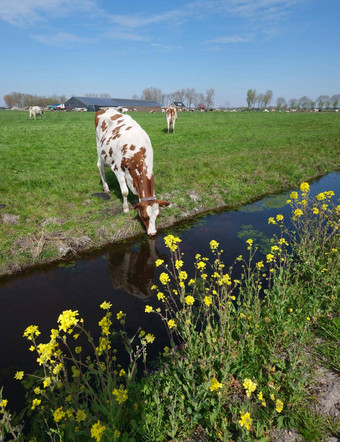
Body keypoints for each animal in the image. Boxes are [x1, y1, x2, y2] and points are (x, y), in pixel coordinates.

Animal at [94, 107, 170, 237]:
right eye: (144, 216)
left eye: (157, 215)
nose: (152, 233)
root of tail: (104, 109)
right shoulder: (118, 170)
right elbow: (124, 192)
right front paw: (125, 209)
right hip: (99, 147)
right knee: (101, 167)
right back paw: (106, 187)